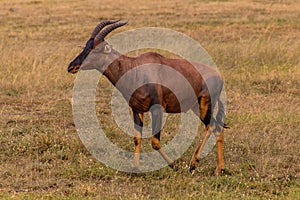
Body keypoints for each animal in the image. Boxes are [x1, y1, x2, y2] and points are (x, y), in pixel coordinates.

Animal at [68, 19, 227, 174]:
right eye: (86, 46)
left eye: (95, 49)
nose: (71, 66)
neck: (135, 69)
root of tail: (219, 77)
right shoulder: (137, 109)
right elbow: (137, 139)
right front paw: (135, 168)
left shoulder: (157, 109)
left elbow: (155, 142)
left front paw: (173, 165)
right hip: (196, 106)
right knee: (217, 128)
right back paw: (220, 169)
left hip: (205, 104)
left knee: (212, 126)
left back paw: (193, 164)